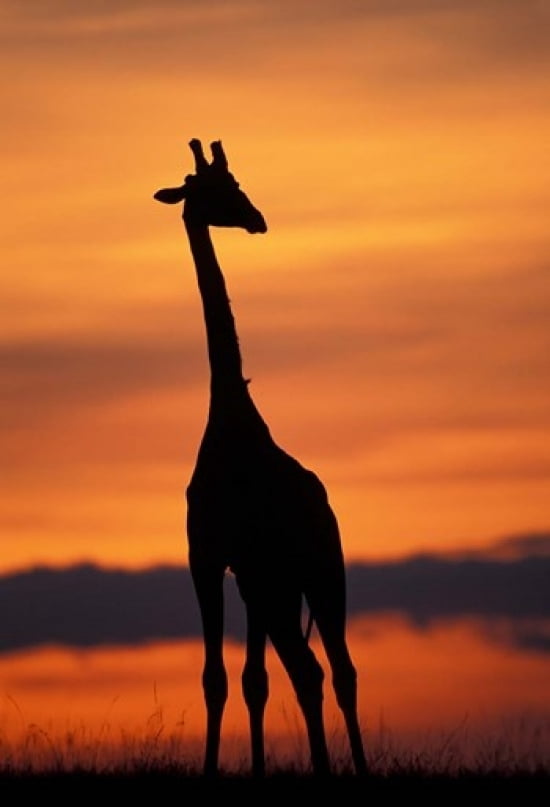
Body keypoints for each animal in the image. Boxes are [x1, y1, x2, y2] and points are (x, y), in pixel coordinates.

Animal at [154, 139, 367, 778]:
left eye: (237, 183)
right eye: (215, 189)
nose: (257, 219)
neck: (230, 415)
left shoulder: (225, 560)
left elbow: (232, 678)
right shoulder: (230, 566)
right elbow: (240, 679)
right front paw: (244, 768)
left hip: (305, 572)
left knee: (325, 669)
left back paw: (340, 768)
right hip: (299, 577)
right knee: (322, 670)